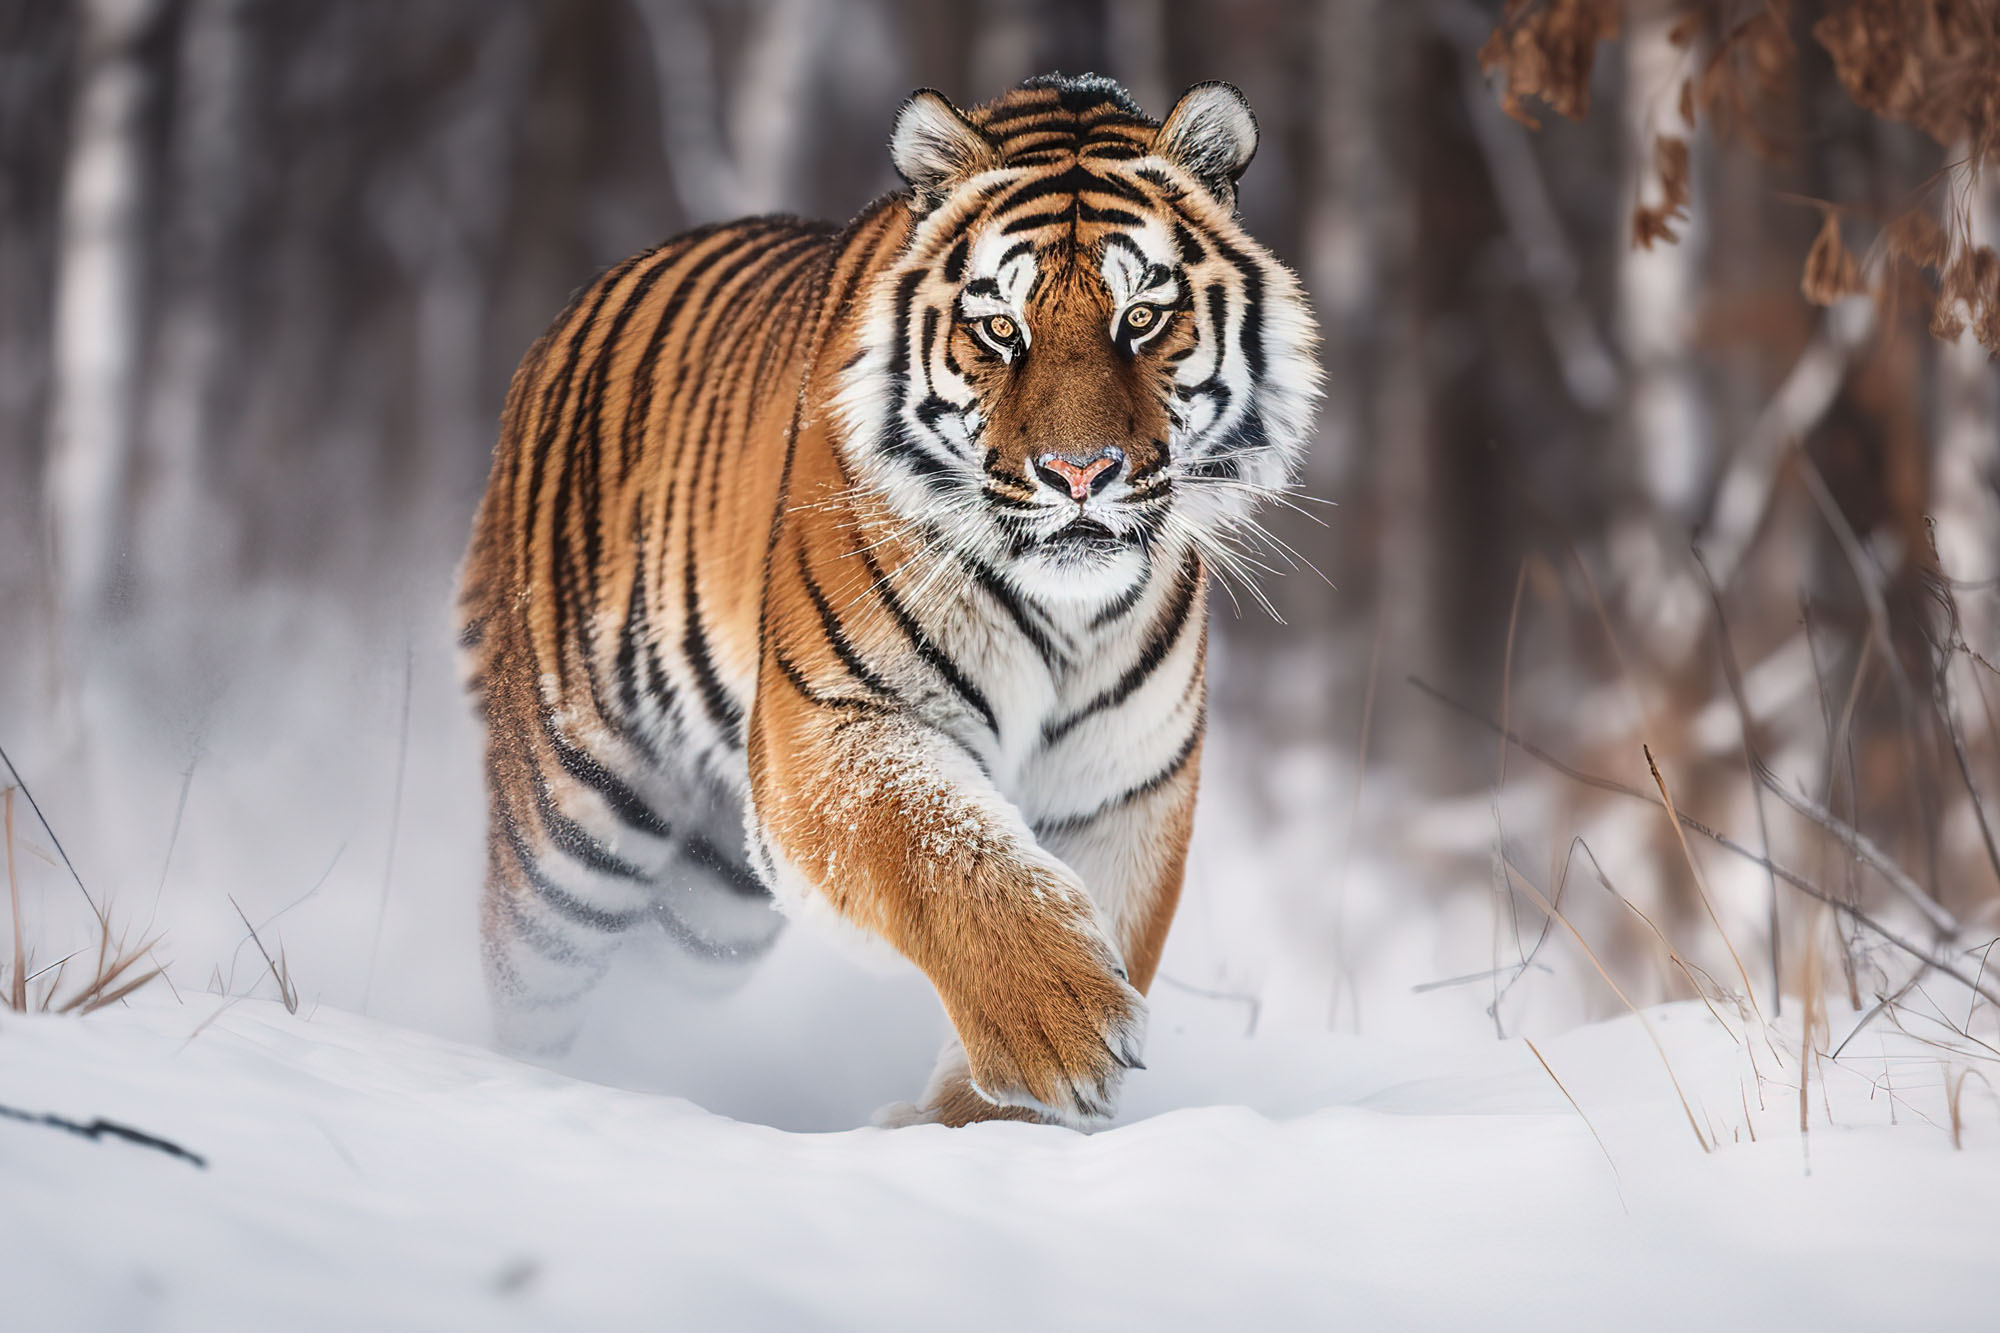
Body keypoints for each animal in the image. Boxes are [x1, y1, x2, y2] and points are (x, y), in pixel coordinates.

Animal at [458, 75, 1320, 1120]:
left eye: (1142, 320)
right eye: (1002, 329)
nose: (1080, 474)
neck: (1066, 618)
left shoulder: (1125, 786)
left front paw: (996, 1120)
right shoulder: (835, 721)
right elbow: (942, 849)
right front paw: (1063, 1026)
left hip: (711, 902)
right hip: (572, 820)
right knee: (530, 978)